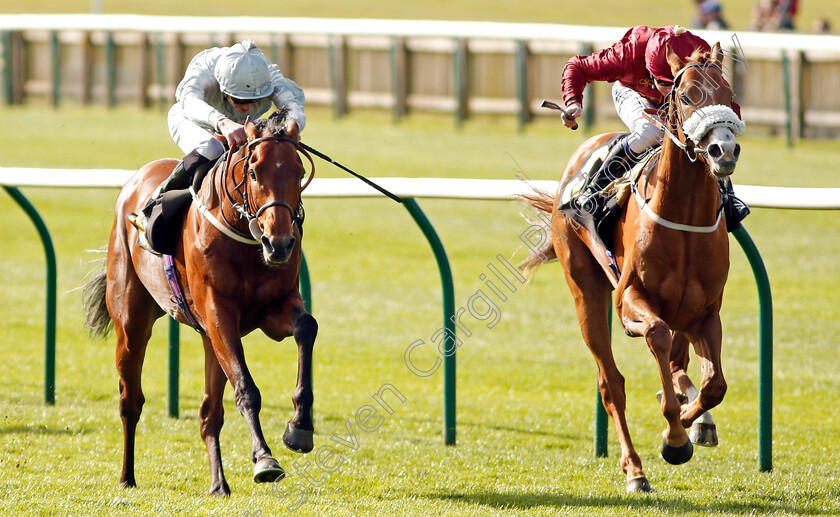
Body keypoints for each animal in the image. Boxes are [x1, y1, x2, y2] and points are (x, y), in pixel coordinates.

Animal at [83, 111, 318, 494]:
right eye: (255, 171)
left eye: (298, 172)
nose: (279, 243)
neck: (245, 240)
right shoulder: (219, 314)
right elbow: (246, 389)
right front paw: (264, 459)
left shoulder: (272, 309)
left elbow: (306, 327)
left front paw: (300, 427)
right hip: (132, 322)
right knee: (130, 401)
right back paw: (127, 476)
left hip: (210, 338)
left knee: (210, 413)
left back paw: (218, 483)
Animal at [520, 44, 744, 492]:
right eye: (687, 96)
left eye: (729, 96)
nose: (723, 152)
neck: (683, 216)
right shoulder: (628, 303)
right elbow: (656, 337)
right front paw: (674, 438)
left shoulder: (706, 313)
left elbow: (714, 385)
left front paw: (690, 419)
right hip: (585, 291)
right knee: (612, 383)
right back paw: (635, 469)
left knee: (679, 364)